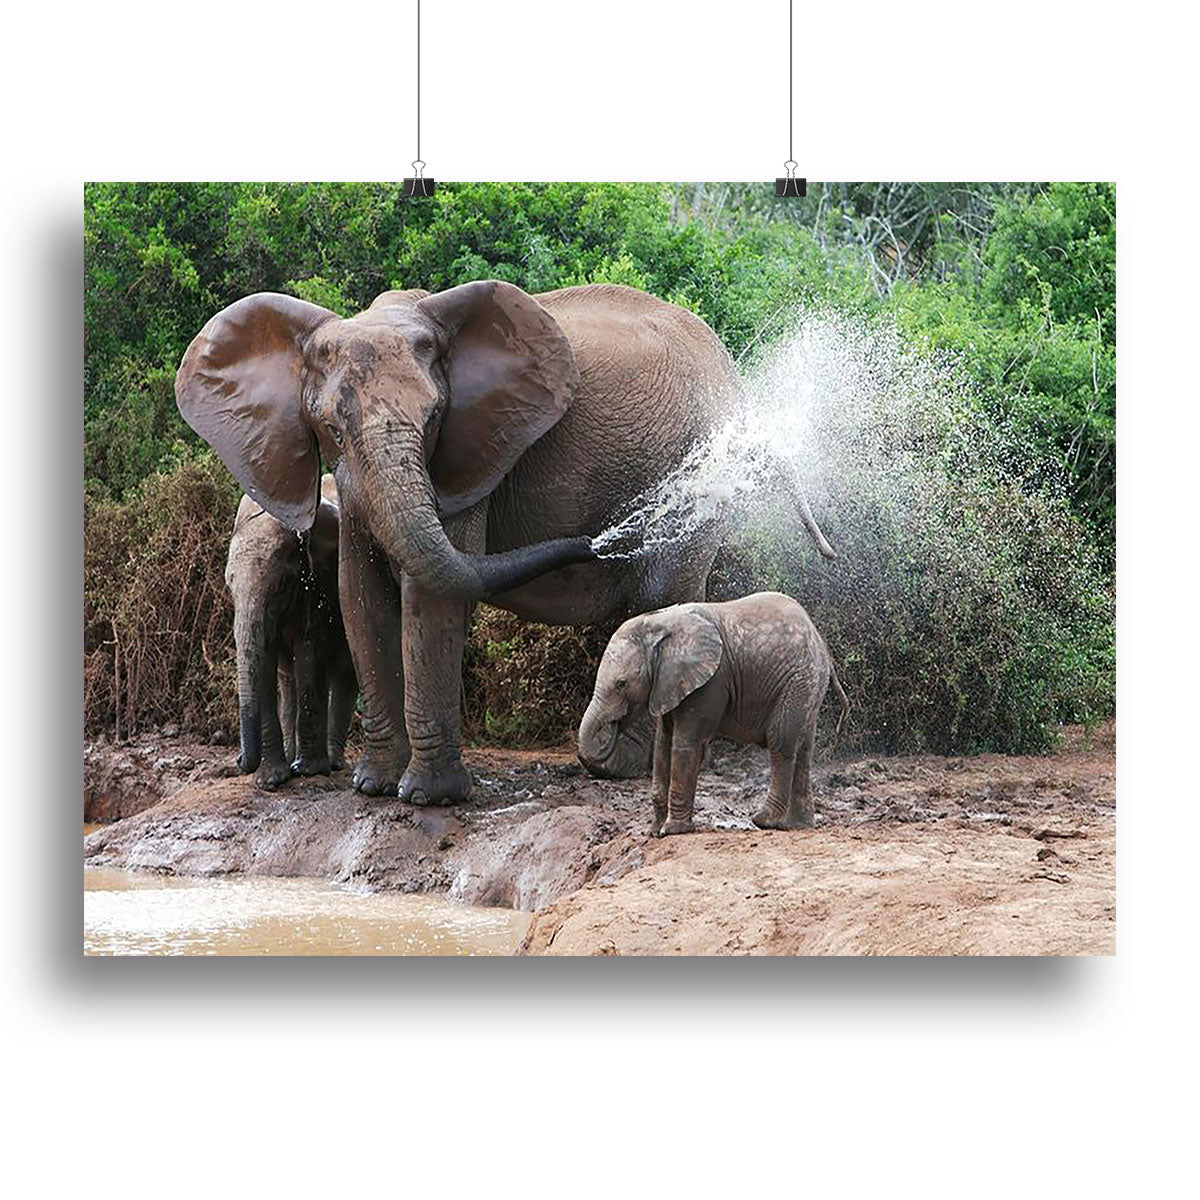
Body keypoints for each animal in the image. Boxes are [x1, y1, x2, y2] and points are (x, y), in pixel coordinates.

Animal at [226, 473, 358, 788]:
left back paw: (332, 763)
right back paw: (292, 757)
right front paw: (271, 781)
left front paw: (309, 771)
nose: (238, 760)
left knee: (345, 674)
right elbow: (265, 660)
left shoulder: (319, 582)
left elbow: (309, 652)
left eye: (282, 585)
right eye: (230, 587)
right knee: (288, 680)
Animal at [577, 592, 850, 834]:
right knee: (803, 749)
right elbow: (662, 746)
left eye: (621, 683)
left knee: (781, 742)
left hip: (797, 680)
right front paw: (653, 832)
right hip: (808, 685)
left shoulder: (710, 682)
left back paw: (764, 820)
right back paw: (798, 825)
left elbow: (686, 744)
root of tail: (822, 645)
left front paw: (673, 831)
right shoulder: (669, 685)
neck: (661, 623)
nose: (612, 727)